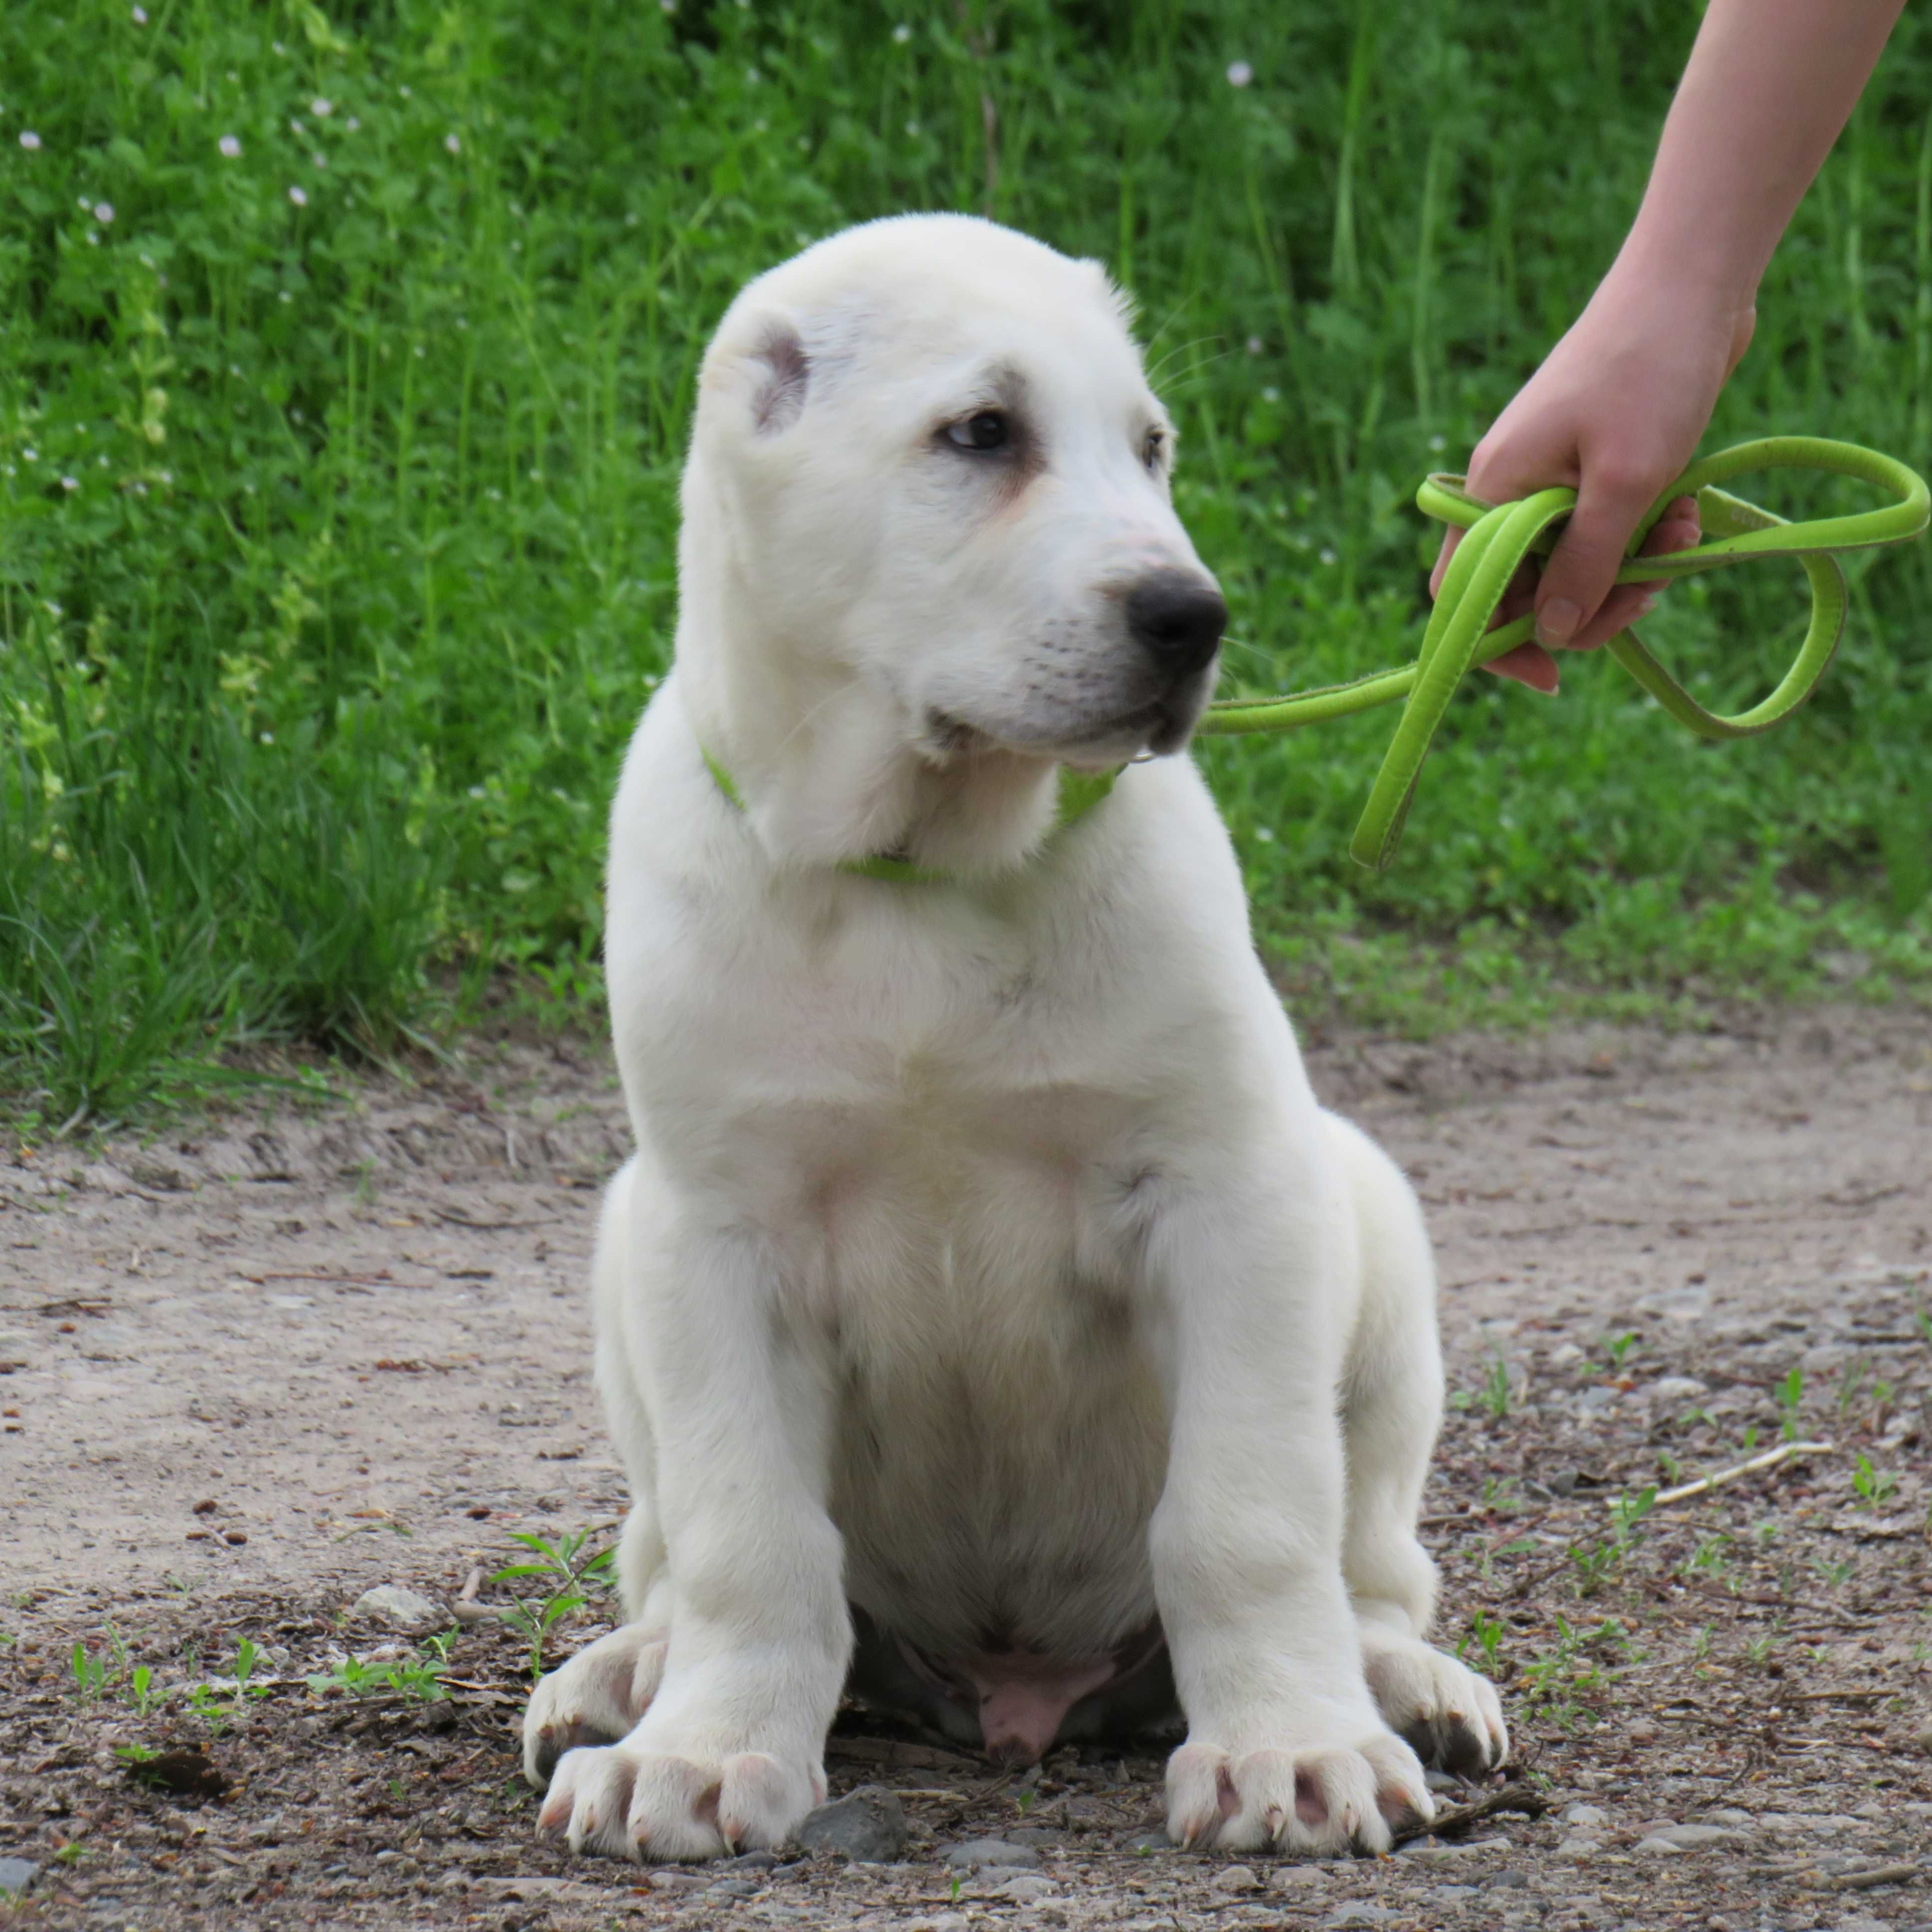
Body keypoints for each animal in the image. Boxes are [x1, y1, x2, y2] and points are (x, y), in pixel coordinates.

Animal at [525, 219, 1507, 1862]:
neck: (919, 871)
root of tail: (1016, 1692)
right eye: (980, 433)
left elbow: (1244, 1511)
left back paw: (1396, 1679)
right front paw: (709, 1748)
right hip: (619, 1246)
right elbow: (746, 1533)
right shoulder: (710, 1231)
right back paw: (632, 1670)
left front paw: (1290, 1747)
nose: (1189, 617)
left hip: (1363, 1212)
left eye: (1150, 447)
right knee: (666, 1547)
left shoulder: (1229, 1194)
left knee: (1371, 1559)